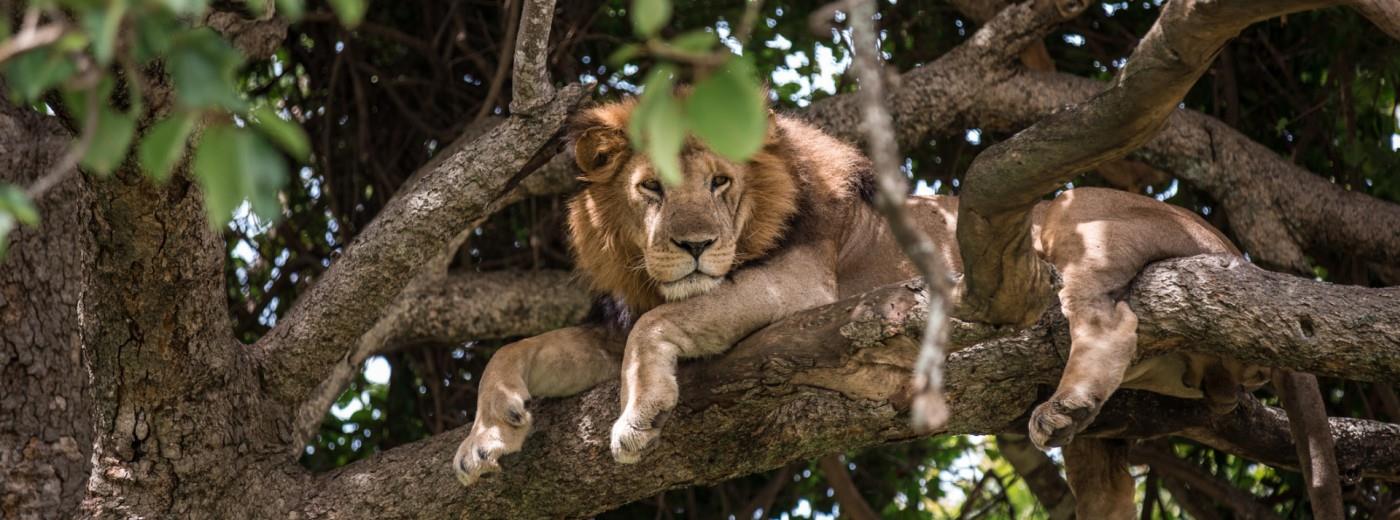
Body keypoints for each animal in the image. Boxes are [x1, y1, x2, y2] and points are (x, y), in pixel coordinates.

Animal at [450, 98, 1271, 518]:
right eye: (650, 188)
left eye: (719, 183)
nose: (695, 246)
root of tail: (1228, 239)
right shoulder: (609, 318)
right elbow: (515, 350)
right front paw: (488, 436)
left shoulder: (799, 285)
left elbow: (654, 329)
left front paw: (638, 415)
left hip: (1071, 217)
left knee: (1109, 314)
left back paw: (1064, 401)